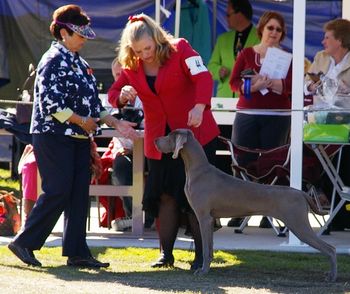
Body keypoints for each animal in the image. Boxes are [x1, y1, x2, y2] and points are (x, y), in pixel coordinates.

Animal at [155, 129, 336, 282]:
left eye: (169, 136)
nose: (155, 140)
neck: (197, 169)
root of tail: (301, 193)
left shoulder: (204, 217)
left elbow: (206, 249)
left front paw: (203, 271)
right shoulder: (210, 219)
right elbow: (210, 248)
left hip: (298, 224)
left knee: (330, 249)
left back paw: (331, 276)